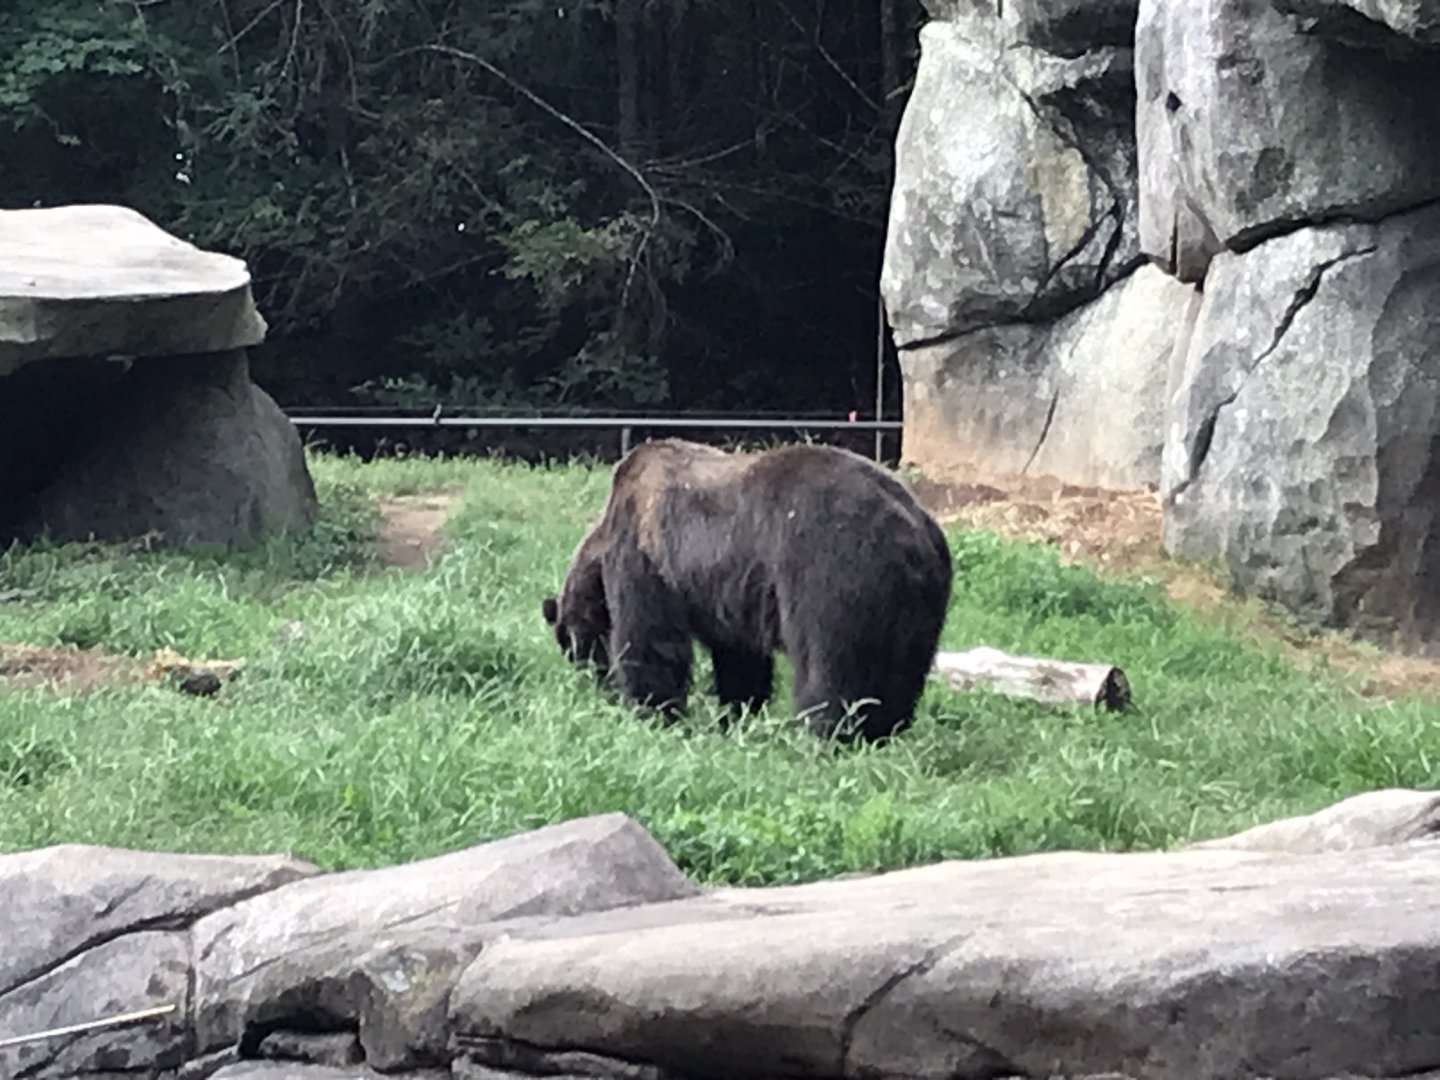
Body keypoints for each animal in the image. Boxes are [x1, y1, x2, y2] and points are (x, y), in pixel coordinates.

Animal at [541, 438, 953, 743]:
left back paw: (825, 733)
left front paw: (651, 712)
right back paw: (882, 731)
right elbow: (740, 660)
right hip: (917, 606)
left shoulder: (647, 555)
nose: (592, 680)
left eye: (571, 643)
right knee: (901, 672)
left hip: (829, 566)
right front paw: (737, 714)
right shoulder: (729, 595)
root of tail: (912, 530)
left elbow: (650, 641)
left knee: (829, 665)